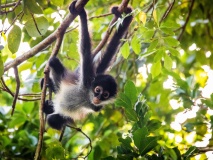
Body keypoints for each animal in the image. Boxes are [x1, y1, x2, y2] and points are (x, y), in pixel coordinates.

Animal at [42, 0, 133, 130]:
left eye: (105, 95)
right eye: (97, 90)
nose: (98, 98)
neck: (87, 95)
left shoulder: (97, 107)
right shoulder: (86, 77)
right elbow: (84, 49)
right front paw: (82, 15)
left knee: (53, 120)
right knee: (53, 61)